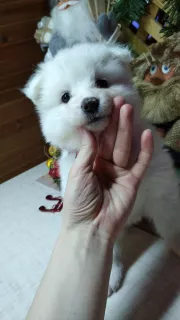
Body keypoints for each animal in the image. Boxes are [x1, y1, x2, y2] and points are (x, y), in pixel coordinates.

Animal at [23, 41, 180, 296]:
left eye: (102, 83)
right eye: (65, 97)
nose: (89, 103)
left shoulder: (162, 190)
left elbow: (171, 223)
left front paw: (178, 245)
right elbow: (111, 248)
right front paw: (112, 275)